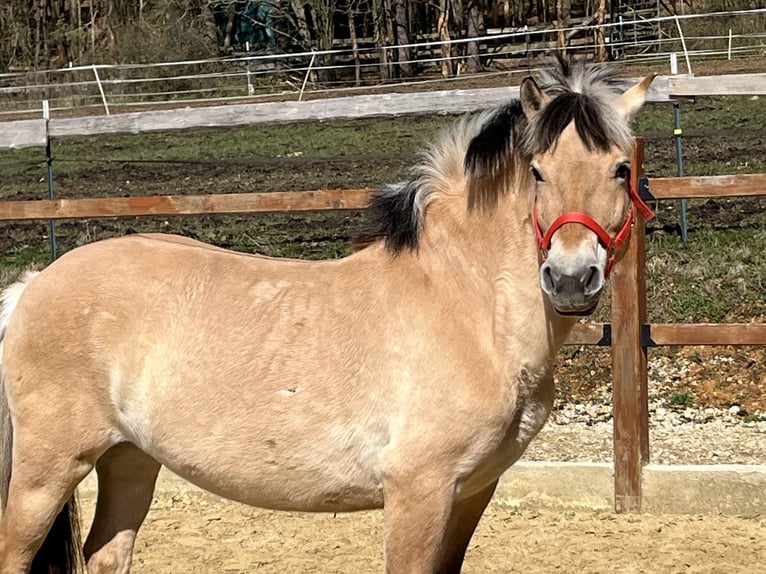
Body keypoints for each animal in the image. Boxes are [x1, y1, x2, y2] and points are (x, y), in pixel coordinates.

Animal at [0, 60, 654, 574]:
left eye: (621, 168)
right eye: (538, 172)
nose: (570, 278)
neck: (464, 305)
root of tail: (32, 286)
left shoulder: (472, 492)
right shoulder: (418, 493)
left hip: (130, 458)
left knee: (109, 554)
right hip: (47, 470)